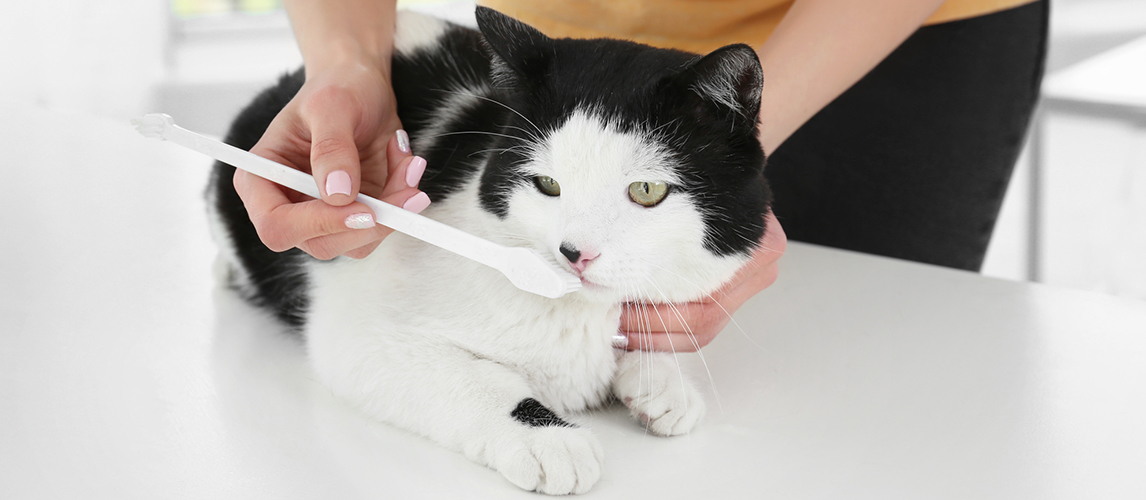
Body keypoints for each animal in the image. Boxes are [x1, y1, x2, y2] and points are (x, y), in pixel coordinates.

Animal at [210, 5, 774, 493]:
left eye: (647, 191)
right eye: (547, 184)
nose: (575, 253)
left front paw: (663, 380)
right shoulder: (360, 331)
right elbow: (473, 377)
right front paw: (549, 440)